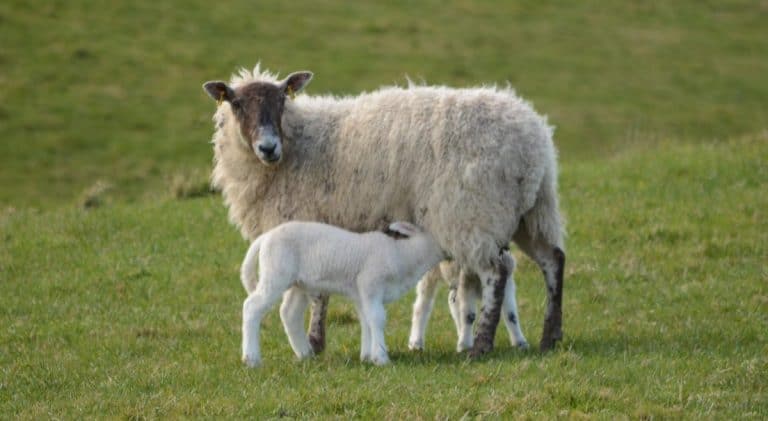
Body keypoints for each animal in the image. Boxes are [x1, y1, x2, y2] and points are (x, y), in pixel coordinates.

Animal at [239, 221, 447, 366]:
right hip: (275, 273)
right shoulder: (370, 284)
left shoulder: (360, 293)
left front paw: (367, 355)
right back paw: (251, 358)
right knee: (252, 307)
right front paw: (381, 357)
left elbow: (366, 321)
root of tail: (265, 237)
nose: (450, 253)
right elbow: (377, 318)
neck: (402, 255)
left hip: (298, 283)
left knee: (289, 313)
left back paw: (305, 354)